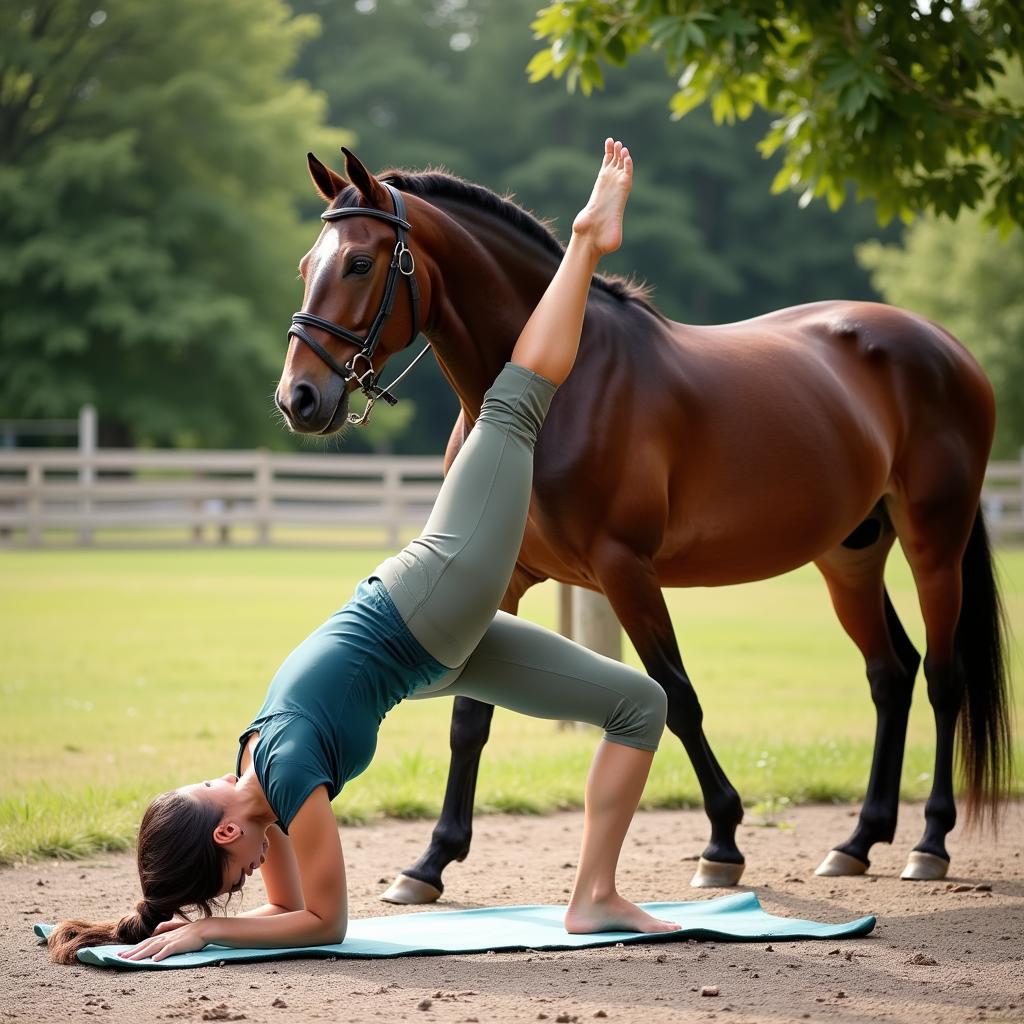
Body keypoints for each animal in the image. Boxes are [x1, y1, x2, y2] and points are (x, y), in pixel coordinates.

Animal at [276, 148, 1011, 901]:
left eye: (360, 263)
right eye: (307, 264)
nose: (298, 398)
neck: (561, 385)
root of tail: (946, 347)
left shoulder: (624, 567)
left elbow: (677, 696)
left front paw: (722, 841)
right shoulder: (500, 578)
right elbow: (470, 719)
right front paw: (431, 861)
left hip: (934, 544)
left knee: (943, 678)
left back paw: (929, 842)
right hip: (850, 558)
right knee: (891, 674)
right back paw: (859, 840)